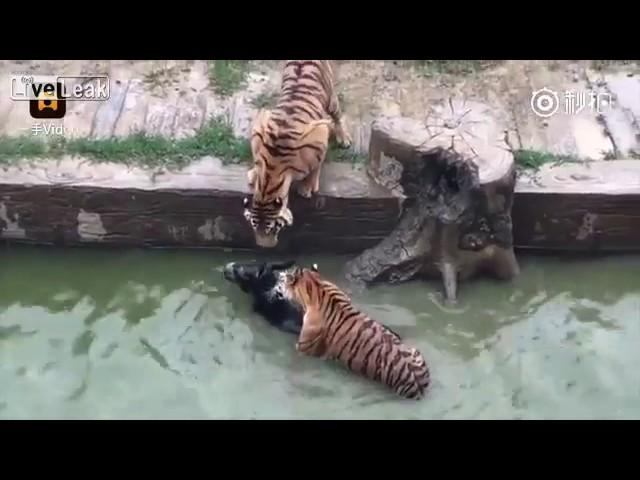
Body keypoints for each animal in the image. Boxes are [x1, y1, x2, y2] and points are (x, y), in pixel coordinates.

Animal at [244, 60, 352, 248]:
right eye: (254, 226)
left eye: (272, 228)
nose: (264, 246)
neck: (270, 175)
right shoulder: (259, 127)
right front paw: (254, 173)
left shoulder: (320, 133)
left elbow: (317, 164)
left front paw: (307, 187)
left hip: (330, 98)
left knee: (337, 115)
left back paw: (343, 138)